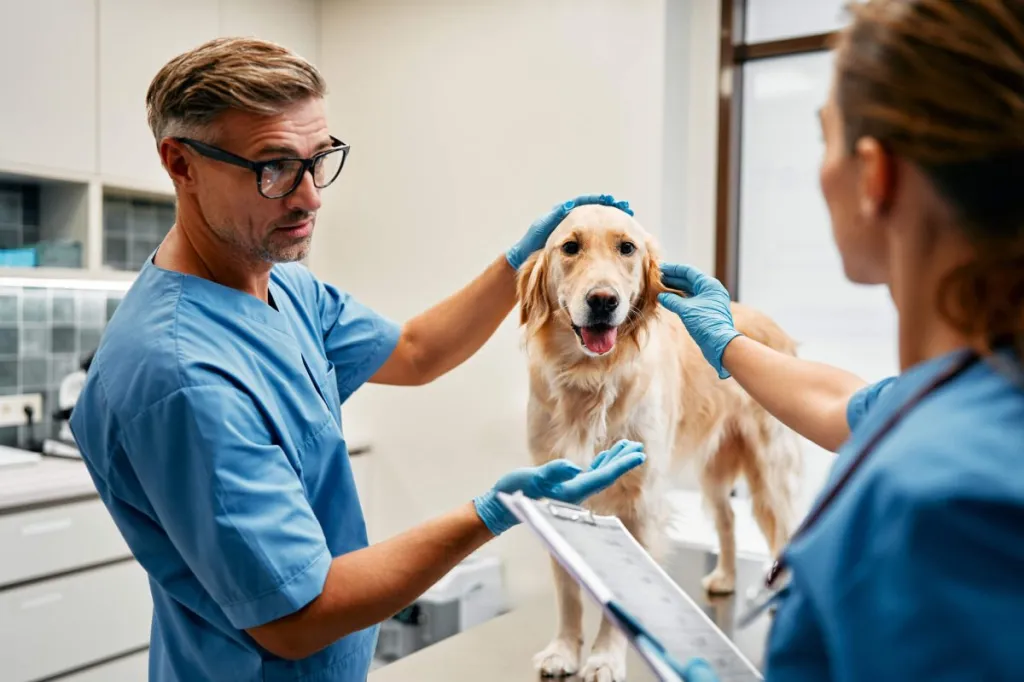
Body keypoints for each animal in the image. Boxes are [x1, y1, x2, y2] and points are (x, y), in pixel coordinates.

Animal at [516, 202, 802, 679]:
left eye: (627, 248)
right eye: (569, 247)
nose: (603, 300)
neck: (590, 379)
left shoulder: (641, 500)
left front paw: (605, 658)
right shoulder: (554, 484)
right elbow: (567, 589)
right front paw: (564, 648)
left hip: (769, 469)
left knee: (783, 527)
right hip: (715, 470)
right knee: (727, 519)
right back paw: (725, 576)